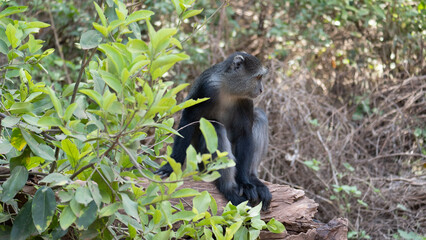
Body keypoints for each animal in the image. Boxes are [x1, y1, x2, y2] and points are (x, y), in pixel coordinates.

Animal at [156, 52, 272, 210]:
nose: (261, 90)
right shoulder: (207, 88)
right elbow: (189, 118)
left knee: (260, 115)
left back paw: (252, 178)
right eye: (258, 77)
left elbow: (245, 132)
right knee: (216, 126)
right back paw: (228, 189)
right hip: (203, 162)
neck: (229, 89)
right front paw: (170, 167)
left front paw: (245, 183)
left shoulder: (246, 100)